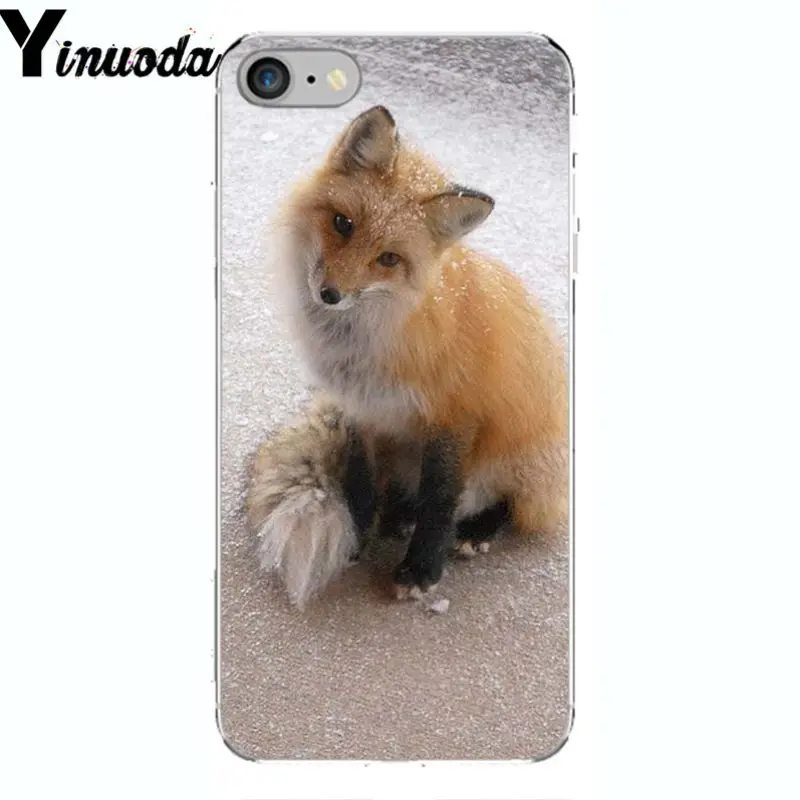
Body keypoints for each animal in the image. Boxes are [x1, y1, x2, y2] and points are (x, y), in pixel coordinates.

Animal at [251, 105, 568, 604]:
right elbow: (360, 480)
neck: (364, 339)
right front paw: (360, 535)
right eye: (342, 224)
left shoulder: (455, 416)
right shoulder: (360, 408)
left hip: (515, 454)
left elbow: (440, 498)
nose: (330, 294)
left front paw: (421, 570)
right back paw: (399, 515)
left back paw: (476, 529)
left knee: (518, 505)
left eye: (388, 259)